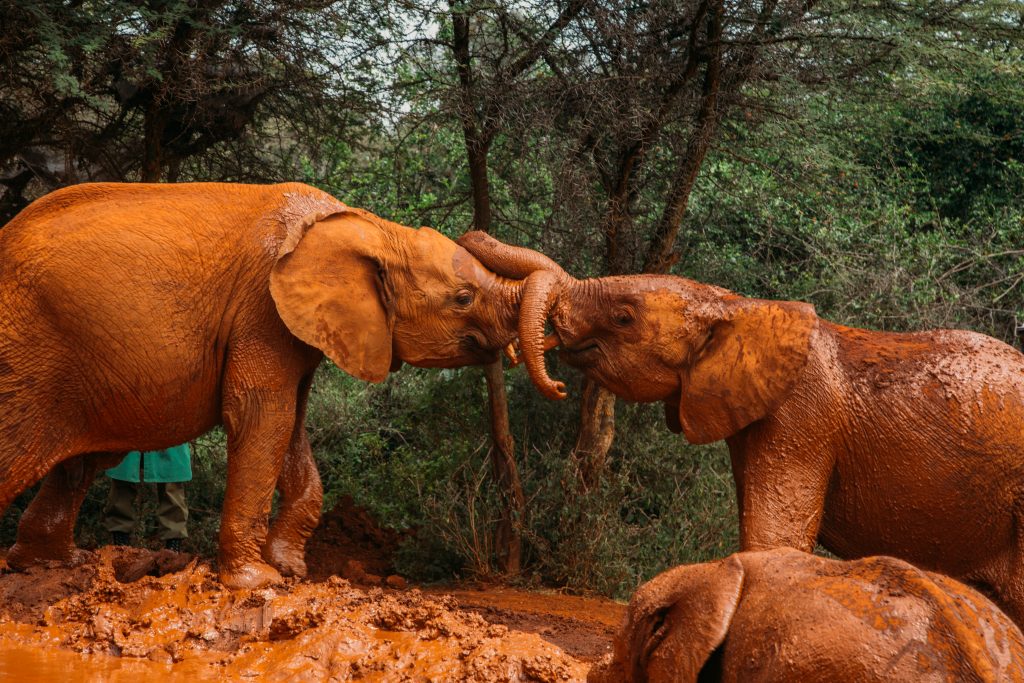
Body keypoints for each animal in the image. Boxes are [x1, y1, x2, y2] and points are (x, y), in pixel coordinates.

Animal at [0, 184, 540, 589]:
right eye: (463, 298)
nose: (476, 231)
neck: (373, 228)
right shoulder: (260, 309)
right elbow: (262, 416)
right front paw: (259, 581)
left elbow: (291, 424)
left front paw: (291, 569)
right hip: (26, 351)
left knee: (85, 461)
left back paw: (53, 565)